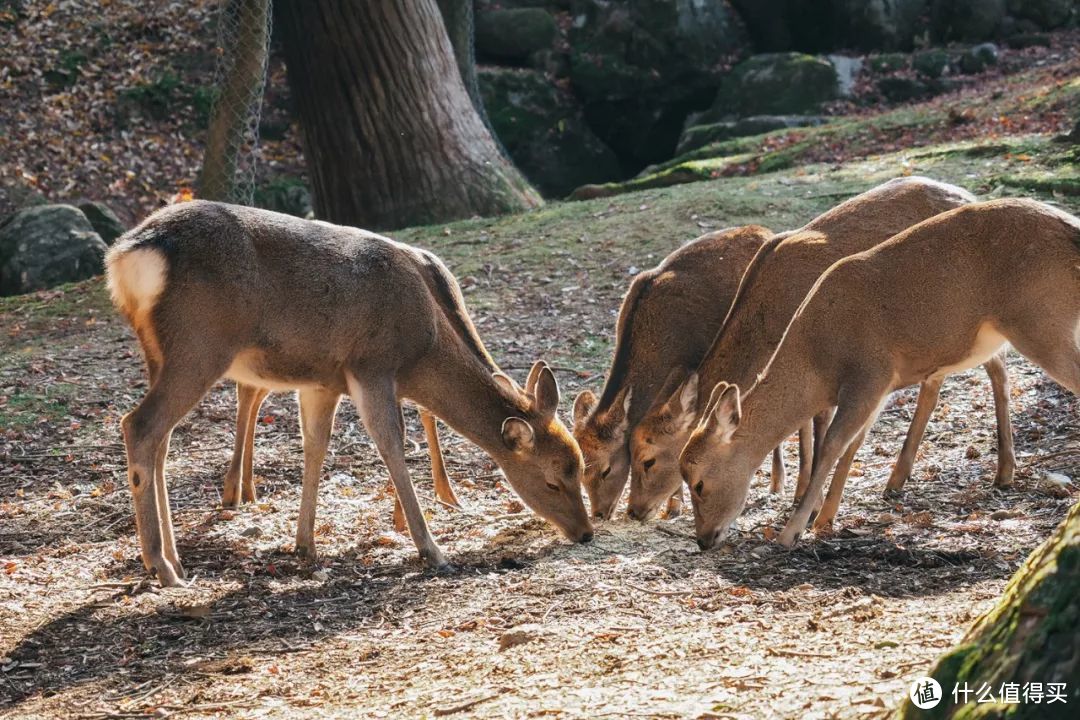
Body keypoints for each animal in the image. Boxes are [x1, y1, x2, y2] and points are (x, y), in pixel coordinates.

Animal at [108, 201, 591, 587]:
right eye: (553, 479)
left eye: (580, 466)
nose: (585, 532)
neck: (422, 348)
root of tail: (125, 255)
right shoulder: (372, 365)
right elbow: (391, 444)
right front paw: (432, 550)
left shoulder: (323, 381)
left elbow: (315, 446)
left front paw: (304, 544)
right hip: (200, 345)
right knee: (139, 425)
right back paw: (162, 567)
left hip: (160, 353)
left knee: (162, 440)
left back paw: (175, 559)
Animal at [570, 226, 790, 524]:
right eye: (582, 471)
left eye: (606, 469)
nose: (600, 513)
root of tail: (764, 230)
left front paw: (675, 505)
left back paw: (778, 482)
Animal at [626, 175, 1010, 524]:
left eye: (648, 458)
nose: (634, 510)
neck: (770, 324)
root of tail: (968, 194)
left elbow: (813, 423)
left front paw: (805, 499)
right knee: (944, 379)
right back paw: (897, 479)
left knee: (995, 369)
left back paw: (1003, 472)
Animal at [682, 194, 1080, 548]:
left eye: (698, 482)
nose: (703, 540)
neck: (818, 360)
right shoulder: (880, 386)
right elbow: (854, 442)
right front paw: (826, 518)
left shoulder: (870, 372)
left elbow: (834, 444)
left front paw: (792, 531)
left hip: (1042, 320)